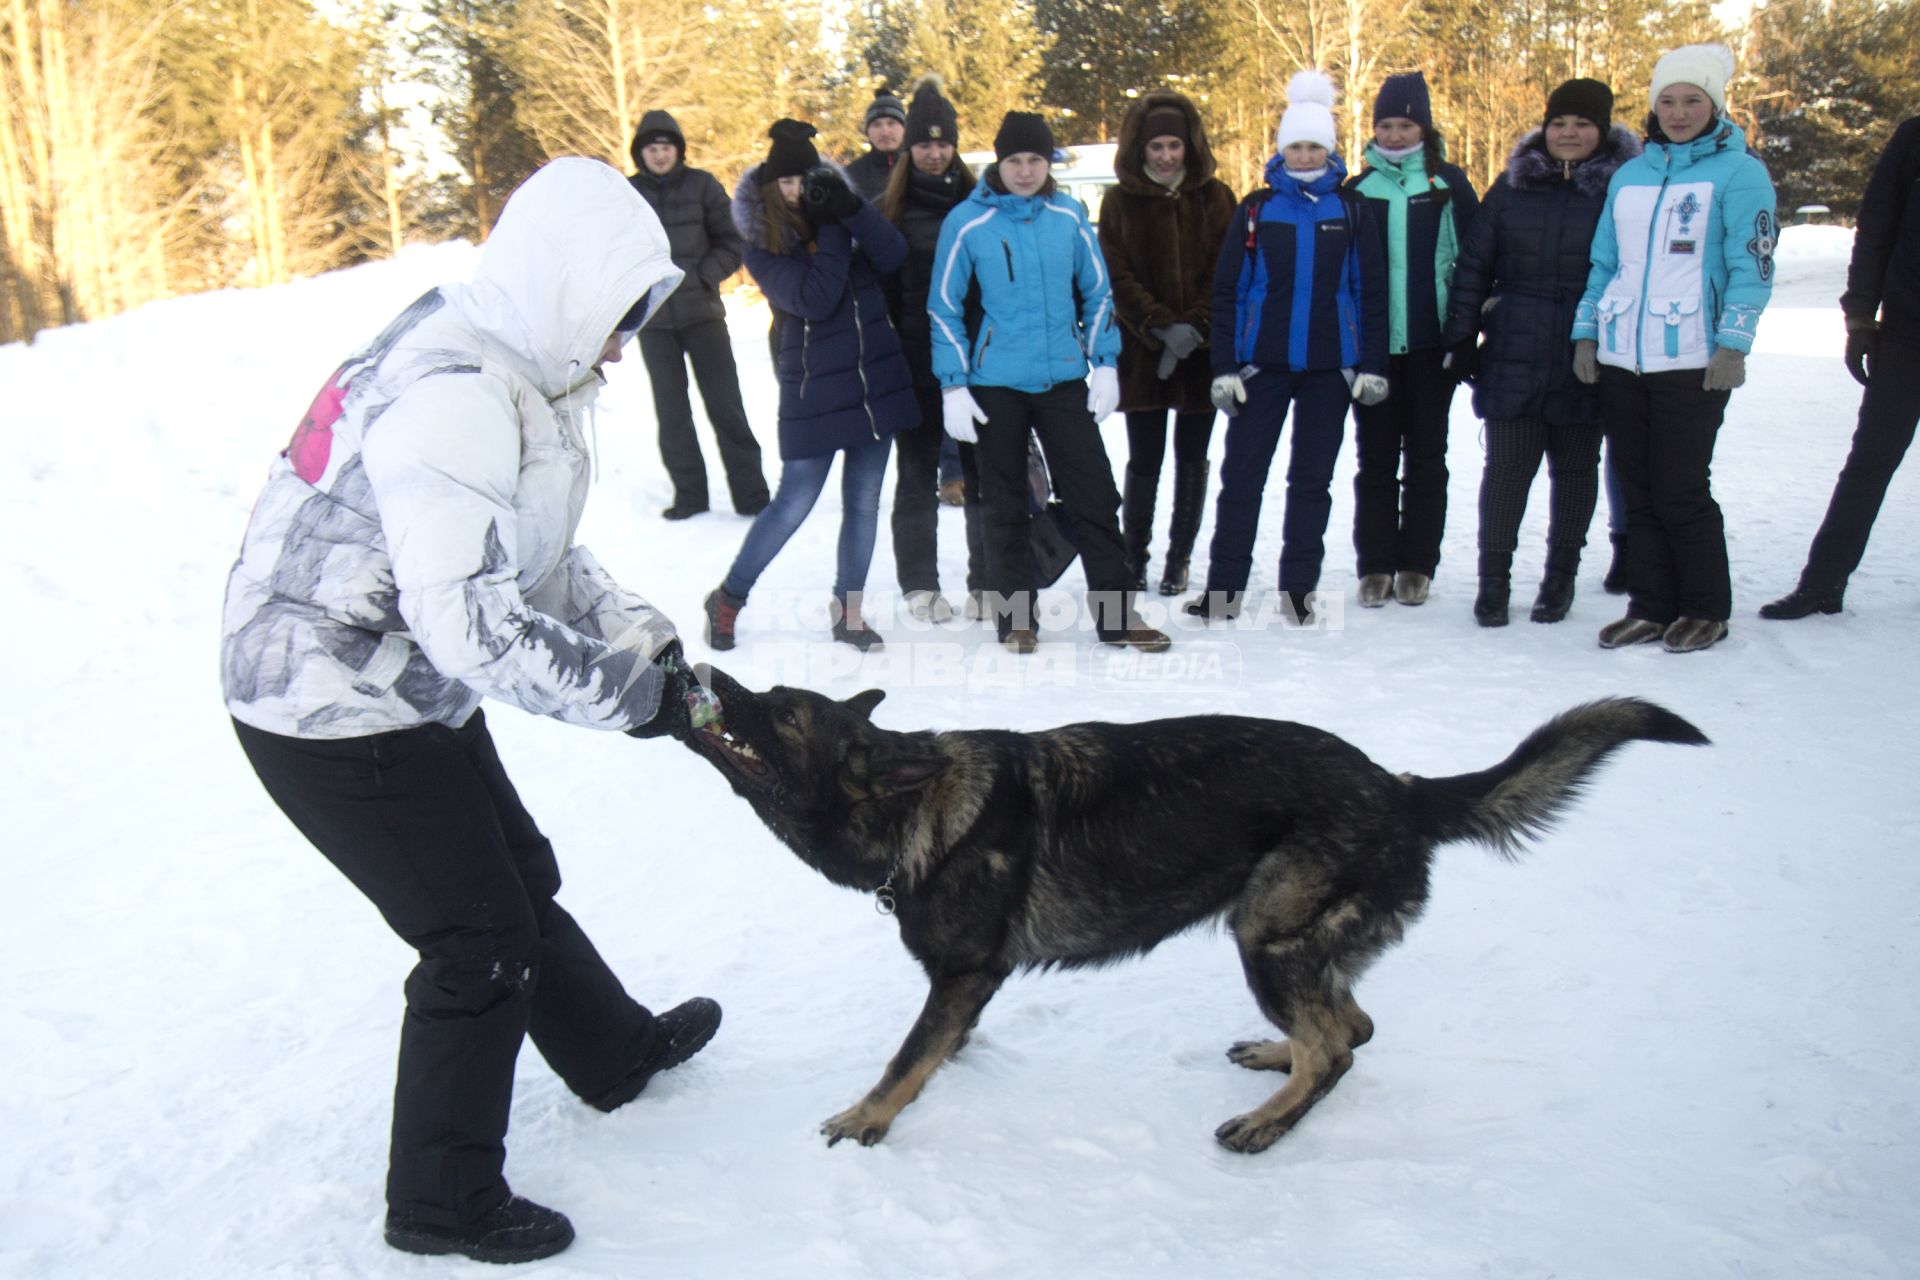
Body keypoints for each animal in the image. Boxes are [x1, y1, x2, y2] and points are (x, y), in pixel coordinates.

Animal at [683, 675, 1704, 1159]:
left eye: (781, 713)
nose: (710, 671)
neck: (911, 811)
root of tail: (1401, 790)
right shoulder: (964, 987)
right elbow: (935, 1047)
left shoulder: (967, 974)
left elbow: (904, 1060)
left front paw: (867, 1119)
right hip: (1291, 940)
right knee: (1353, 1025)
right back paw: (1277, 1065)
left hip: (1265, 934)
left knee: (1338, 1045)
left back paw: (1266, 1123)